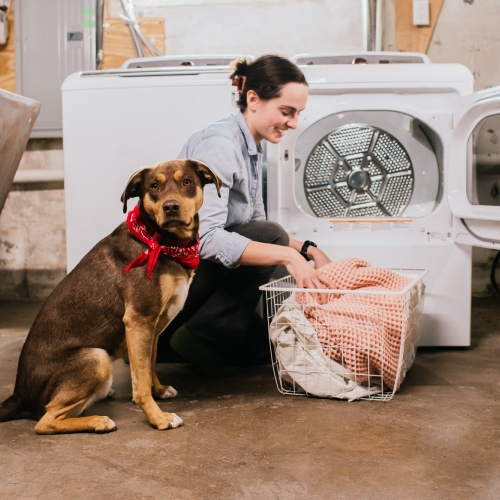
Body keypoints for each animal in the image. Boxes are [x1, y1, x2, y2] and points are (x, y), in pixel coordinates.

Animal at [0, 159, 221, 434]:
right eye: (154, 186)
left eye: (187, 182)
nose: (171, 207)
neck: (160, 242)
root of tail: (19, 395)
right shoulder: (139, 320)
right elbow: (140, 383)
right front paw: (158, 418)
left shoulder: (153, 325)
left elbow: (148, 365)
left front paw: (159, 390)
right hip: (96, 358)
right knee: (45, 421)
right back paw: (98, 421)